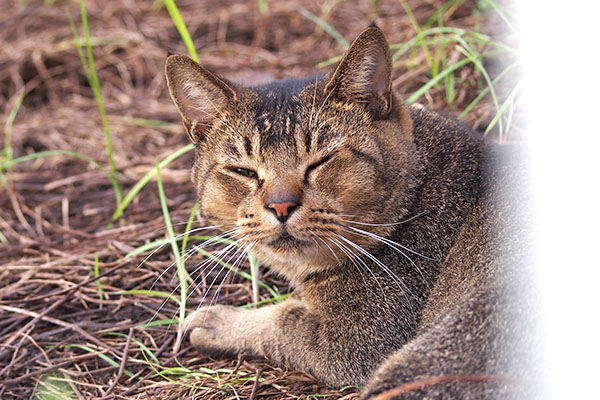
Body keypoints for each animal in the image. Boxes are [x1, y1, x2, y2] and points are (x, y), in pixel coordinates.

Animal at [164, 23, 536, 398]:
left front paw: (218, 322)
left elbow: (284, 321)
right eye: (243, 171)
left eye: (322, 160)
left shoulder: (358, 339)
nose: (281, 205)